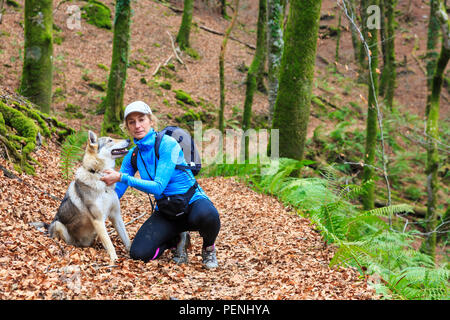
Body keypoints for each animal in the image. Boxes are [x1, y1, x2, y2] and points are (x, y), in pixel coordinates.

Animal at [46, 130, 131, 262]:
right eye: (110, 140)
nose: (128, 140)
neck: (98, 175)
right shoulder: (98, 220)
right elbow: (110, 243)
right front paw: (114, 260)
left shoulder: (116, 215)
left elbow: (127, 239)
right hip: (58, 225)